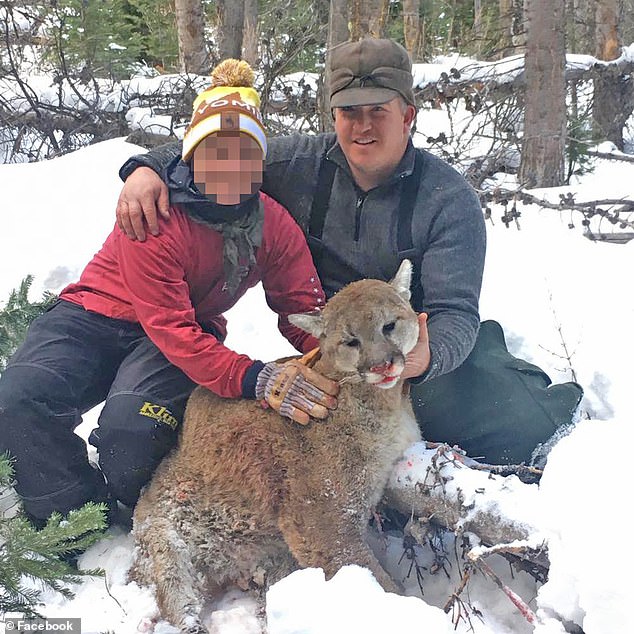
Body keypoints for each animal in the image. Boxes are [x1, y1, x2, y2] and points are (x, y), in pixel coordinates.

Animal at [131, 258, 422, 632]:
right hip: (165, 540)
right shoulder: (324, 520)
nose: (382, 365)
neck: (384, 402)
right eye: (351, 341)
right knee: (176, 598)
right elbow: (376, 581)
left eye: (389, 325)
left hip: (278, 559)